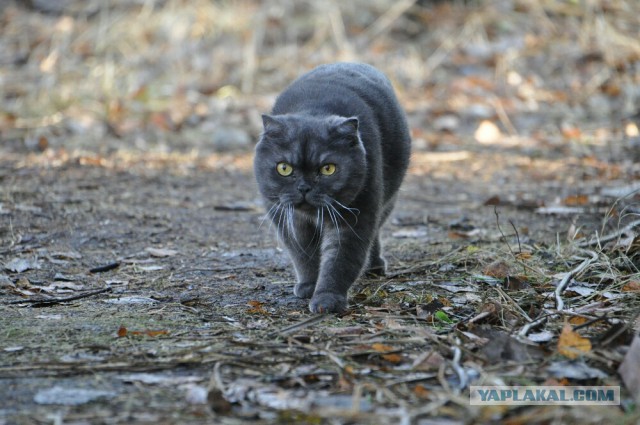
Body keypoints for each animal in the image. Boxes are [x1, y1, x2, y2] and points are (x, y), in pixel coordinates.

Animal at [254, 63, 410, 314]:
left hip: (386, 200)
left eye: (328, 169)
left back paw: (375, 266)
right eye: (284, 168)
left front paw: (327, 299)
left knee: (375, 234)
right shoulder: (287, 219)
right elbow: (303, 255)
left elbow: (340, 260)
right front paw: (309, 285)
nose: (304, 188)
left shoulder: (355, 216)